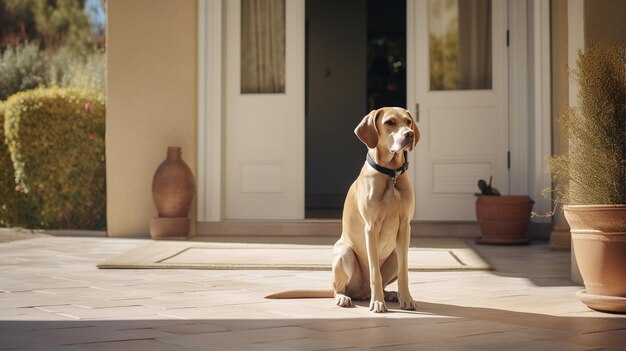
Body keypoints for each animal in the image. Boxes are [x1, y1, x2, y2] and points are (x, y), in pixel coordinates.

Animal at [264, 106, 420, 314]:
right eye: (389, 122)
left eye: (408, 122)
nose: (409, 134)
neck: (391, 174)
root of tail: (361, 292)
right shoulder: (371, 228)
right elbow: (375, 273)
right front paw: (378, 302)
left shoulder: (404, 227)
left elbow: (404, 272)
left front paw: (406, 299)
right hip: (344, 252)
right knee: (338, 288)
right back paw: (345, 297)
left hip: (394, 253)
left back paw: (389, 294)